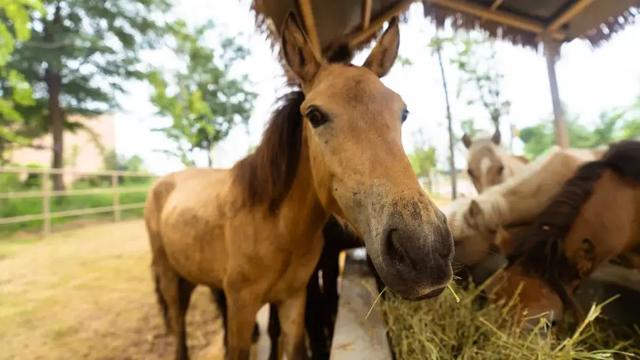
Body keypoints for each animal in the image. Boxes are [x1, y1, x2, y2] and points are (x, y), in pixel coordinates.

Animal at [147, 15, 452, 360]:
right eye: (314, 115)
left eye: (403, 112)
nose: (424, 249)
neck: (277, 227)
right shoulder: (242, 306)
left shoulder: (293, 299)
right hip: (170, 278)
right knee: (178, 326)